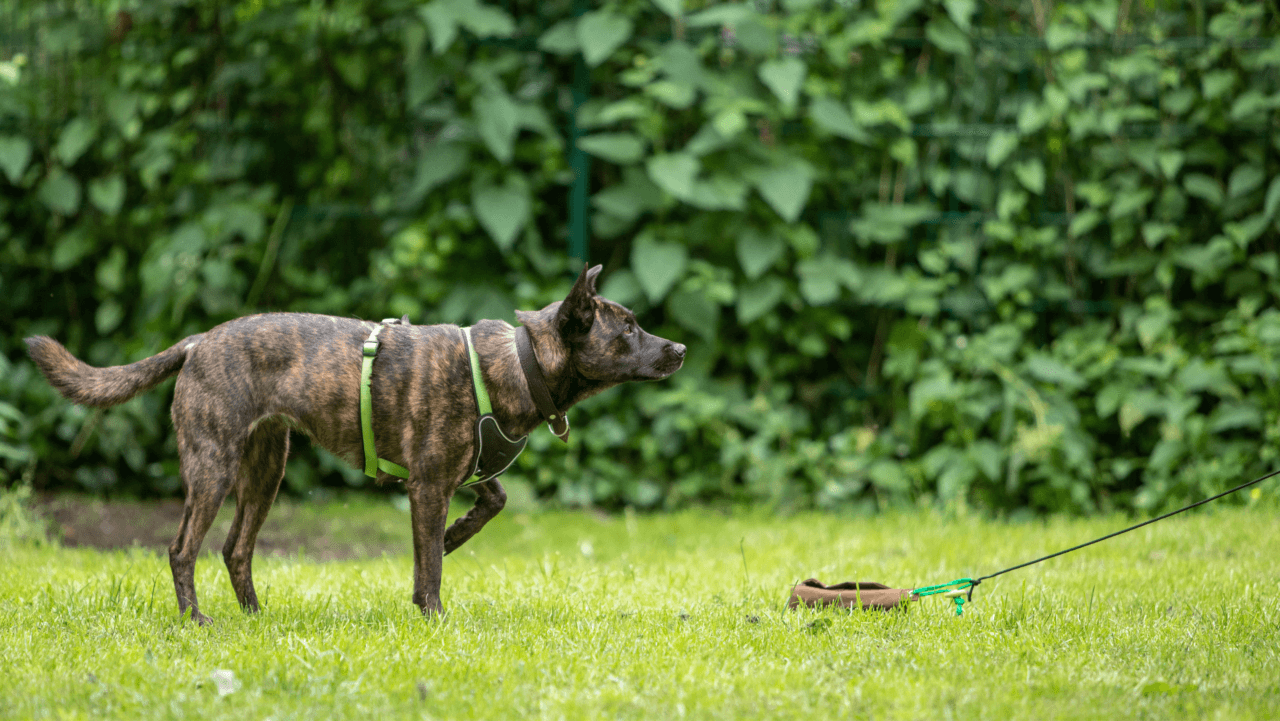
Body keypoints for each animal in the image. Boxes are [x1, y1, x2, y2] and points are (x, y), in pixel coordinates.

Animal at [24, 265, 686, 627]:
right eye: (628, 327)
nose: (679, 349)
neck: (519, 364)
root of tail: (196, 342)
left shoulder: (458, 474)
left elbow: (489, 505)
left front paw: (453, 537)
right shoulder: (427, 485)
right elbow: (429, 568)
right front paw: (433, 616)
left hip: (266, 469)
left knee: (236, 550)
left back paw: (254, 619)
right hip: (213, 466)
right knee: (182, 548)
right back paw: (196, 620)